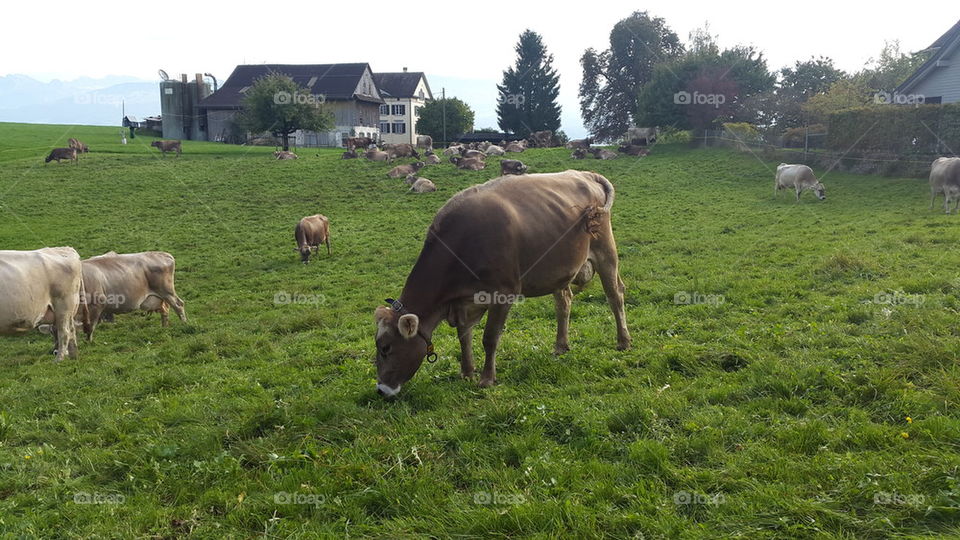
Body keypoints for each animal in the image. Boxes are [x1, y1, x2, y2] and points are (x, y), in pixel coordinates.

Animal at [372, 170, 630, 397]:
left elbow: (489, 338)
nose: (382, 390)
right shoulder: (465, 303)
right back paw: (560, 345)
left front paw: (487, 379)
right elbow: (464, 336)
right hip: (558, 270)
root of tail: (585, 174)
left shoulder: (503, 293)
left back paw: (623, 341)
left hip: (606, 251)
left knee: (615, 295)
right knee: (564, 301)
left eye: (385, 348)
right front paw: (467, 372)